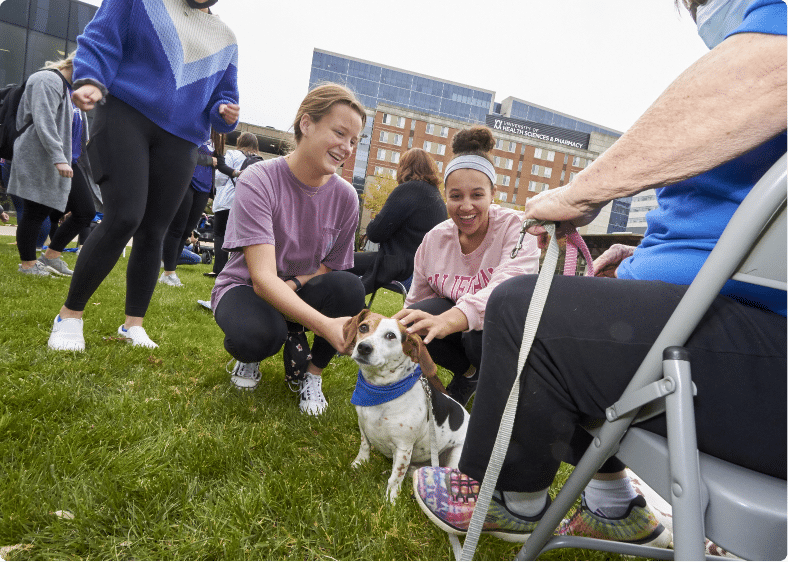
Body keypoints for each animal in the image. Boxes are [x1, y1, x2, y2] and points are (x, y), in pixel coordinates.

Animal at [344, 310, 468, 498]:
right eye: (363, 327)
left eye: (391, 335)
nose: (364, 347)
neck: (380, 391)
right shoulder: (363, 426)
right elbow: (364, 447)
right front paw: (359, 463)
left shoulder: (403, 447)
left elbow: (396, 477)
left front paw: (390, 499)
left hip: (455, 457)